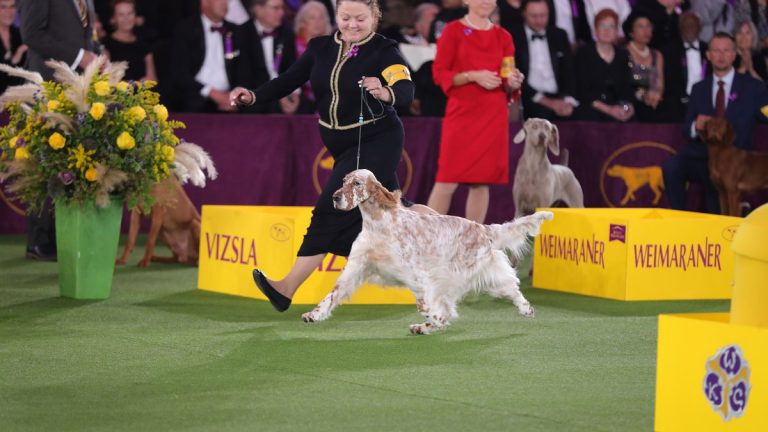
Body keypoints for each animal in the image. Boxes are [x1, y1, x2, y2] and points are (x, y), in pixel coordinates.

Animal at [304, 169, 556, 334]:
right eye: (344, 180)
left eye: (357, 183)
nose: (335, 197)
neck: (379, 223)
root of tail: (482, 228)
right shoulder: (357, 266)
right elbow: (332, 295)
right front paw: (314, 315)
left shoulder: (417, 274)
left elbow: (425, 305)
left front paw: (434, 319)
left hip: (462, 274)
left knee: (502, 291)